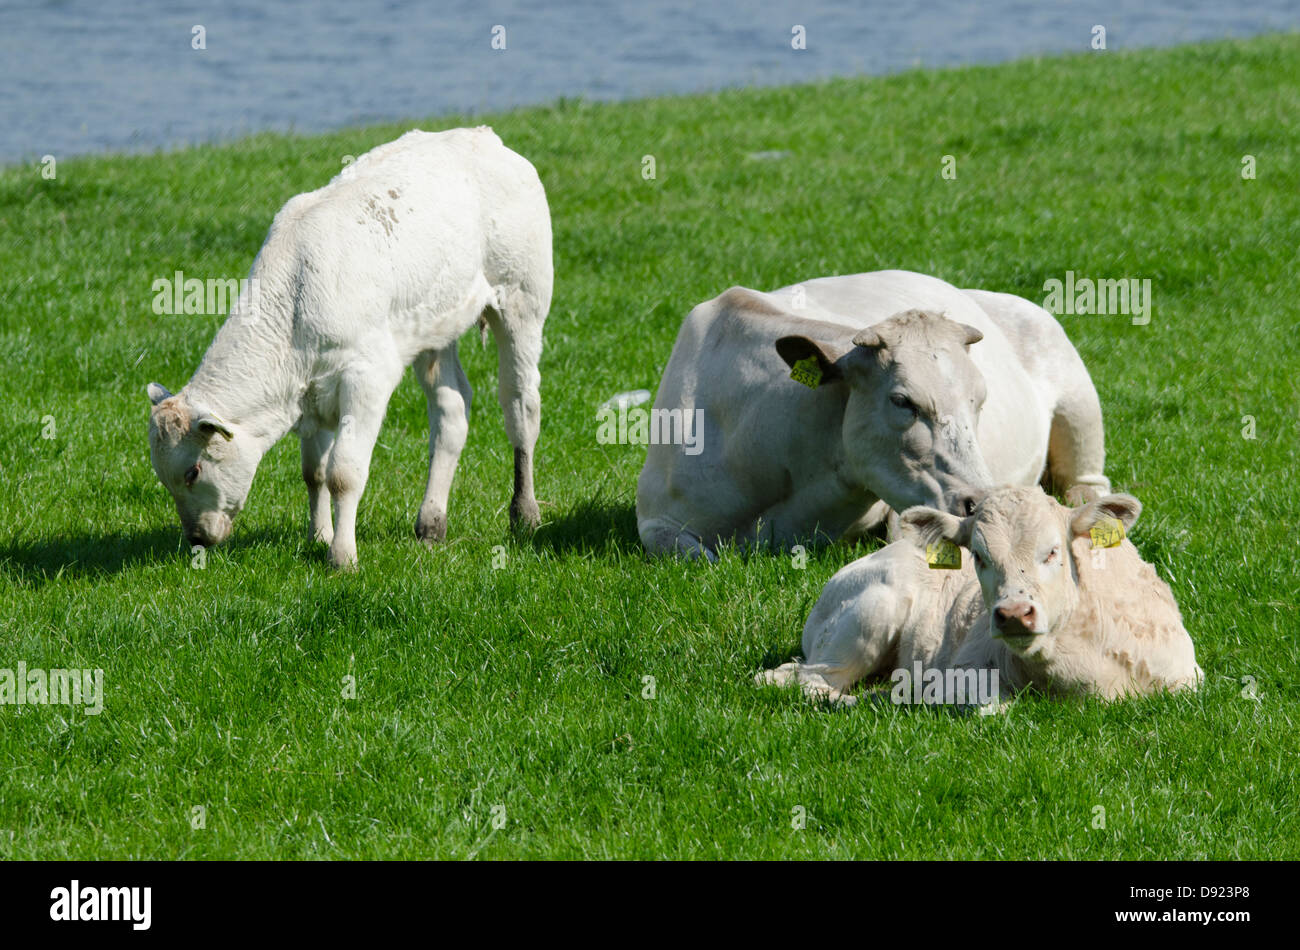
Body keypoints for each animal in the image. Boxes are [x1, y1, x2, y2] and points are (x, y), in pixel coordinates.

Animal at [148, 129, 553, 569]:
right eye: (164, 479)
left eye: (193, 471)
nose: (197, 537)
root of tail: (483, 136)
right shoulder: (312, 392)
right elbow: (314, 472)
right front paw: (319, 535)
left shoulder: (366, 377)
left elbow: (343, 473)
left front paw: (342, 556)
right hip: (435, 328)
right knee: (452, 410)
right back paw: (431, 525)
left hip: (522, 295)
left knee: (520, 405)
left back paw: (524, 513)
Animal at [759, 486, 1201, 712]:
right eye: (979, 556)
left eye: (1053, 551)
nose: (1015, 614)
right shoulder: (961, 671)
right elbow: (990, 705)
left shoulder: (1188, 679)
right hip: (866, 618)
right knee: (794, 679)